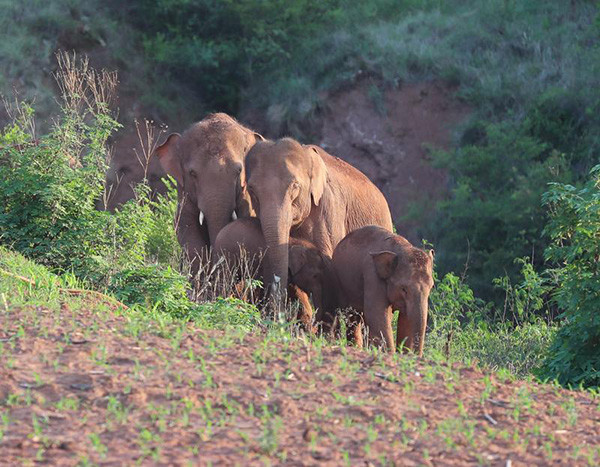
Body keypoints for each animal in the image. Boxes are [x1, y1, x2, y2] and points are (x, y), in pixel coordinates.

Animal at [330, 226, 434, 354]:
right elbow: (377, 315)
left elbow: (405, 319)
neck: (400, 247)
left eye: (431, 287)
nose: (415, 355)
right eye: (403, 289)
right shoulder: (372, 276)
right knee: (352, 317)